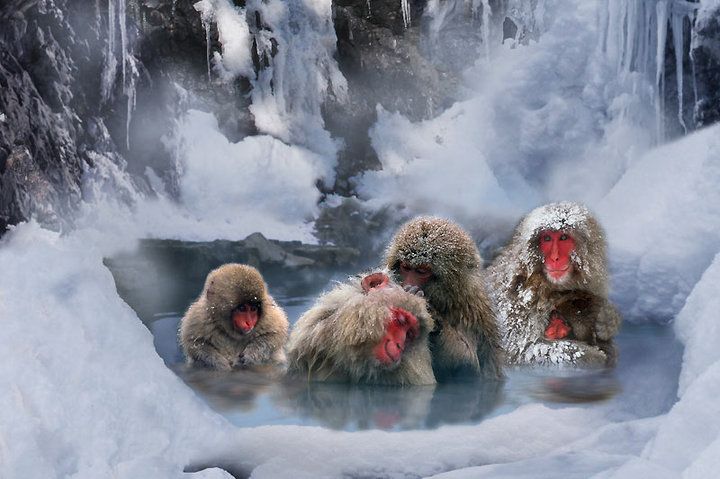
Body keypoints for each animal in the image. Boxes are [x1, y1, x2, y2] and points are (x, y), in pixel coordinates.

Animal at [384, 216, 504, 380]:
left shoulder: (472, 317)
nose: (406, 284)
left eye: (421, 271)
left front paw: (430, 314)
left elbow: (468, 366)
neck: (450, 302)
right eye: (406, 267)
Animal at [486, 202, 621, 367]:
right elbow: (520, 352)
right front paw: (593, 356)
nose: (555, 258)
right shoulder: (518, 302)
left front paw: (608, 321)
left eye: (563, 237)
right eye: (547, 238)